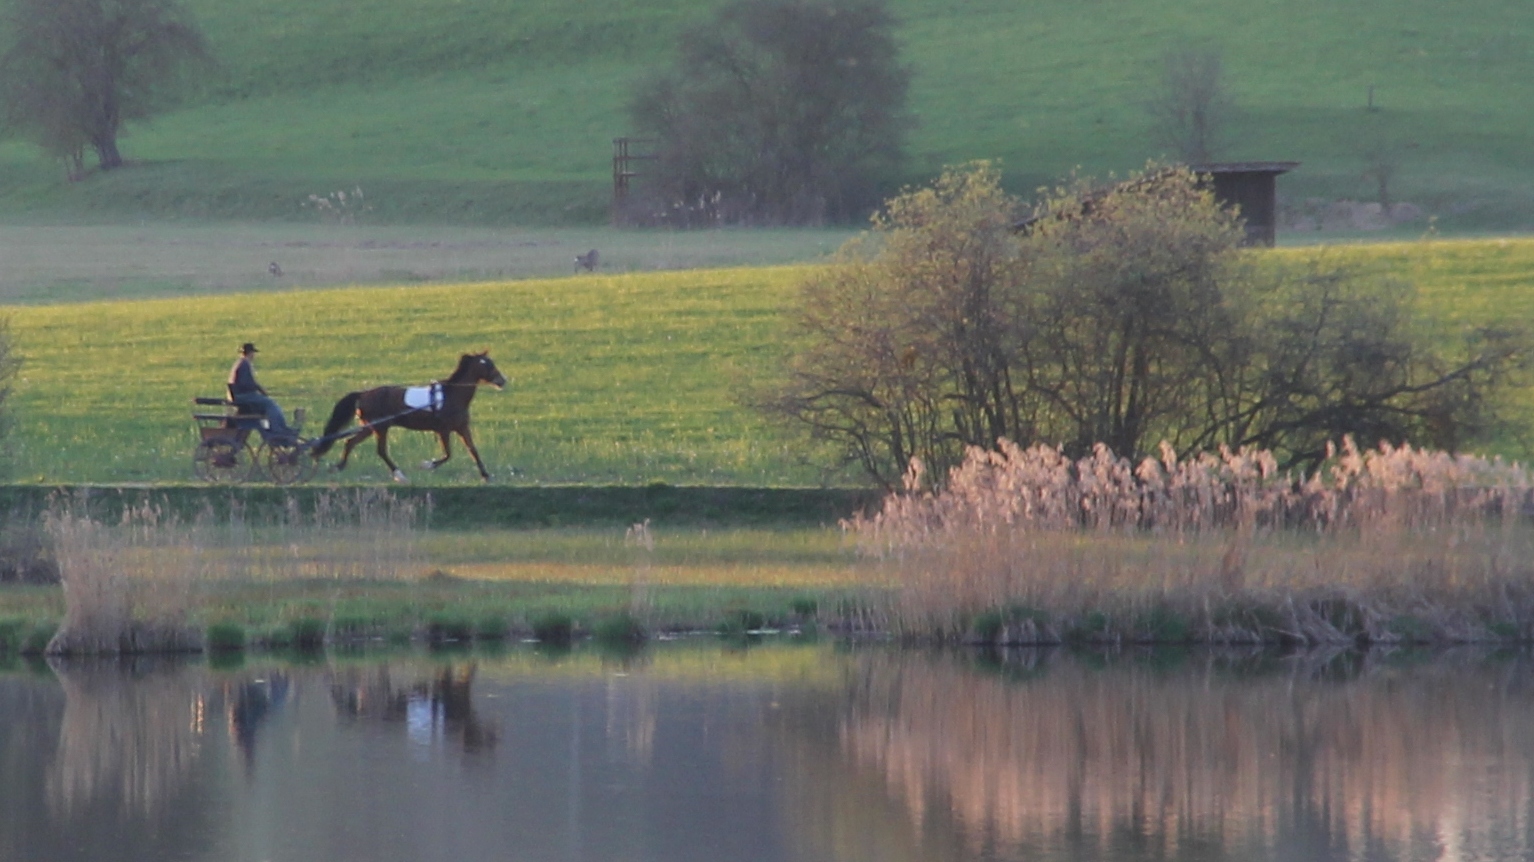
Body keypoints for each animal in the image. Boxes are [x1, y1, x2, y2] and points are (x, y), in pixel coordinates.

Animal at [311, 351, 509, 484]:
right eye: (487, 364)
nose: (502, 381)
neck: (449, 396)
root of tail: (363, 394)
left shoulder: (461, 428)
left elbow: (473, 450)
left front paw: (486, 475)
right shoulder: (443, 430)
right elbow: (448, 454)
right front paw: (427, 465)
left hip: (370, 427)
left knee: (350, 442)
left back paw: (339, 467)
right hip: (381, 427)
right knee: (380, 450)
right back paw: (399, 475)